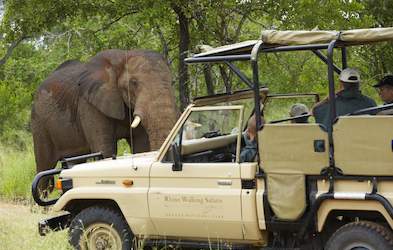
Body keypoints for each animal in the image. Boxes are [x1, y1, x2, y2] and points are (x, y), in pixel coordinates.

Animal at [31, 48, 177, 189]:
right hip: (39, 122)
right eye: (133, 83)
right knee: (44, 167)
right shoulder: (89, 104)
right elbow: (105, 149)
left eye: (172, 82)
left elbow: (141, 145)